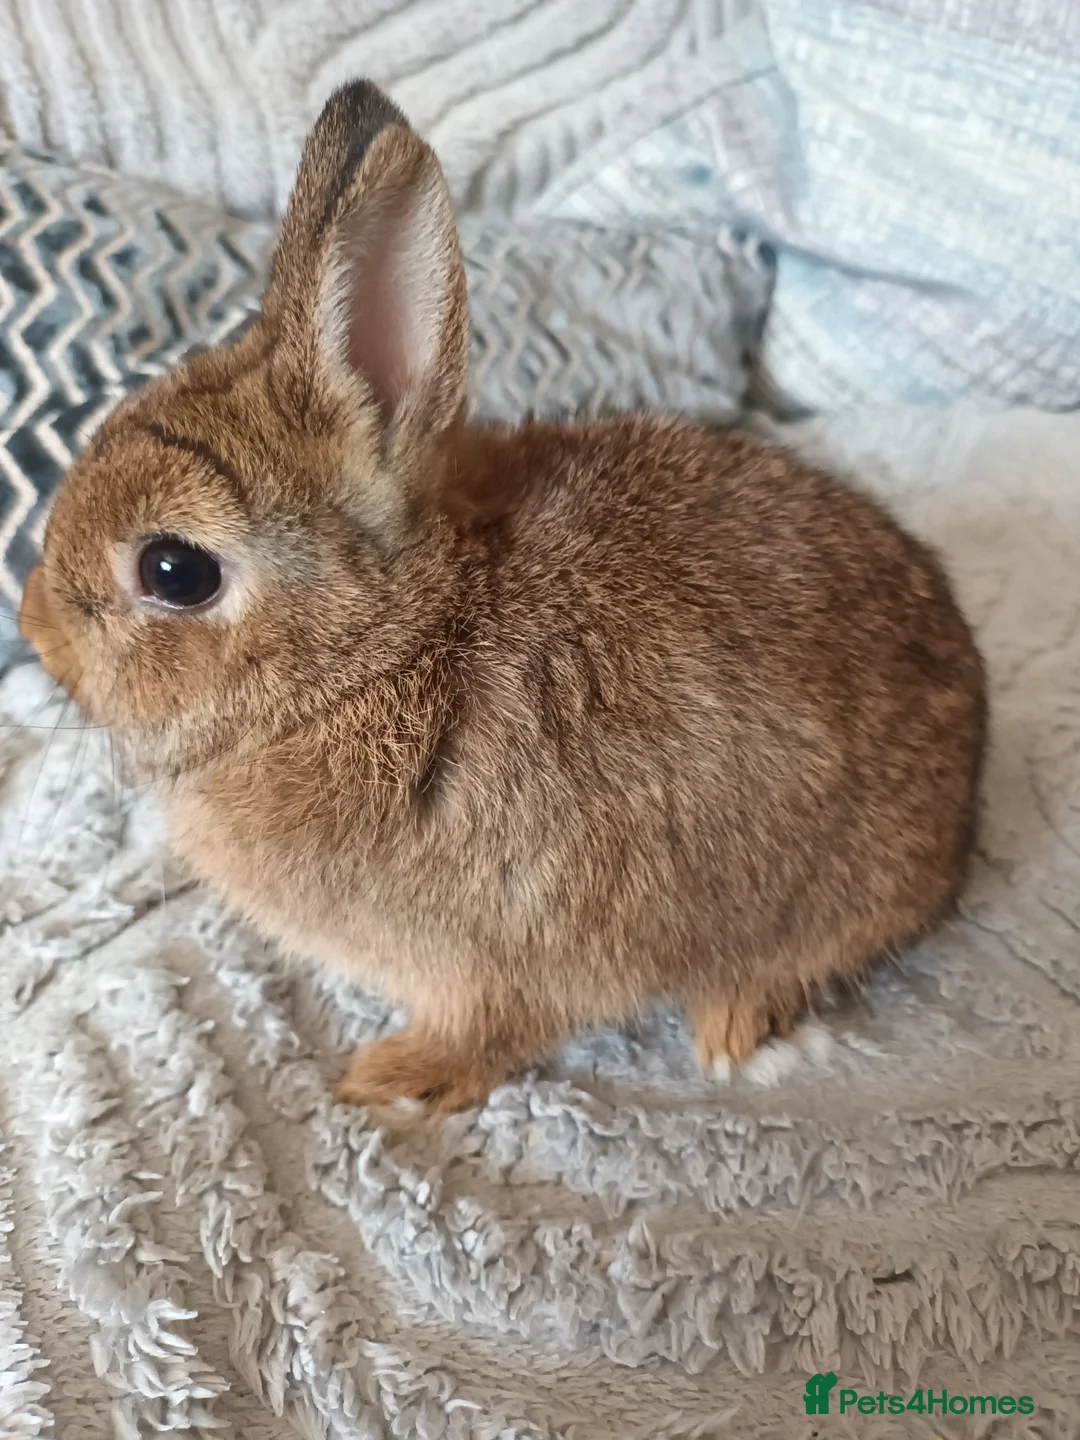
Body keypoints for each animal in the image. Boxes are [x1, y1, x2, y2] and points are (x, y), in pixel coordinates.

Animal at [18, 79, 986, 1112]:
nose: (33, 623)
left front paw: (385, 1082)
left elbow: (489, 1034)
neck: (383, 650)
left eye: (174, 572)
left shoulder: (500, 962)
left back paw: (729, 1029)